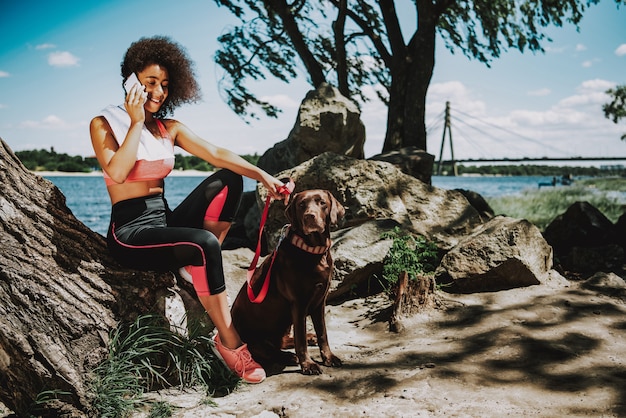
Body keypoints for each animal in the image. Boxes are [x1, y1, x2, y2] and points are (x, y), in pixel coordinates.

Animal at [230, 189, 344, 376]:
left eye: (322, 203)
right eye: (301, 205)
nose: (309, 216)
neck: (312, 250)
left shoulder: (320, 301)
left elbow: (323, 333)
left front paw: (329, 357)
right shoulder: (298, 303)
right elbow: (300, 340)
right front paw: (308, 365)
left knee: (281, 341)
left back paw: (307, 340)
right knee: (266, 350)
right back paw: (289, 356)